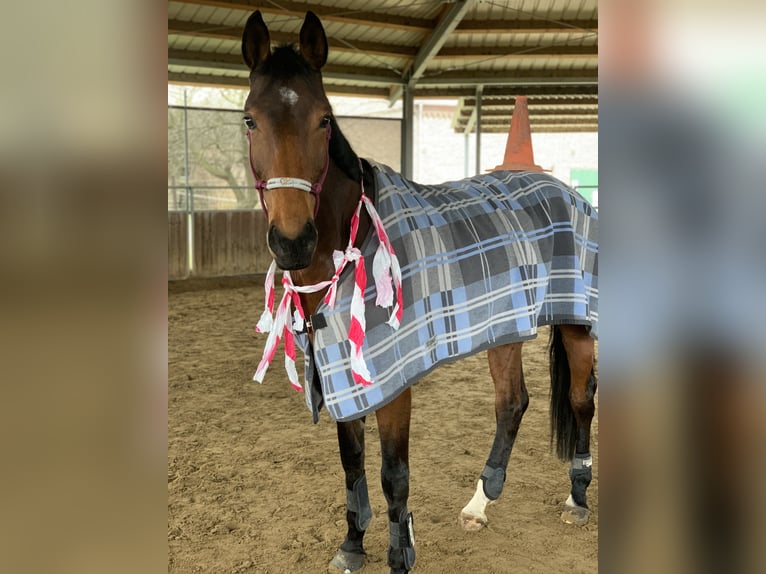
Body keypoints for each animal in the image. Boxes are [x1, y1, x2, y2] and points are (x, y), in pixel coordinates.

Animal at [241, 11, 598, 574]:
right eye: (251, 120)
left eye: (324, 119)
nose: (293, 242)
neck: (356, 239)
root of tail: (566, 190)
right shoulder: (341, 370)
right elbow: (351, 465)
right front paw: (352, 544)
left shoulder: (392, 381)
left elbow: (393, 474)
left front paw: (398, 555)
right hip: (504, 327)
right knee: (511, 403)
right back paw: (480, 503)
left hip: (576, 321)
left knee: (582, 399)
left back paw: (577, 498)